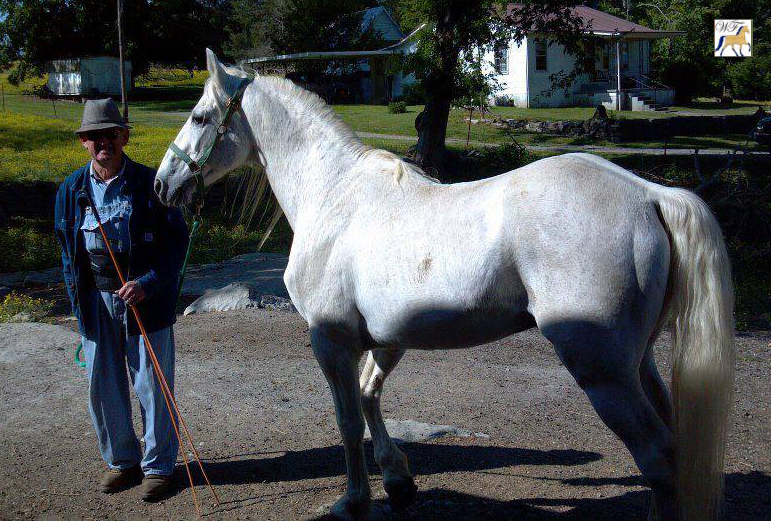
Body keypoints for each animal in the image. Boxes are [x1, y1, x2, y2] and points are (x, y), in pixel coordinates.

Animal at [152, 49, 736, 520]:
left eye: (200, 117)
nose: (163, 185)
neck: (335, 195)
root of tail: (649, 194)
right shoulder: (388, 338)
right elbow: (369, 396)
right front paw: (398, 479)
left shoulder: (330, 338)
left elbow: (347, 417)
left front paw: (355, 500)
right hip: (638, 361)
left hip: (602, 369)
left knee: (657, 454)